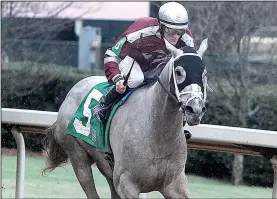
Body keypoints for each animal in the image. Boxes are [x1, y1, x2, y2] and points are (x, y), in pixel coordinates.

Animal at [42, 38, 208, 198]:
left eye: (204, 73)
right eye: (179, 72)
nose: (195, 109)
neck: (156, 134)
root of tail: (72, 91)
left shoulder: (175, 185)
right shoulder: (126, 184)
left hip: (106, 167)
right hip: (77, 154)